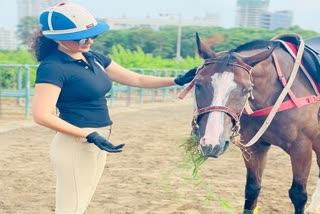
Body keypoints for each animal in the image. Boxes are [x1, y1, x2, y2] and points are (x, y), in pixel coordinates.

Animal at [180, 32, 320, 213]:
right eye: (197, 84)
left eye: (247, 89)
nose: (212, 143)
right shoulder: (254, 147)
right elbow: (252, 189)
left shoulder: (301, 147)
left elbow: (298, 194)